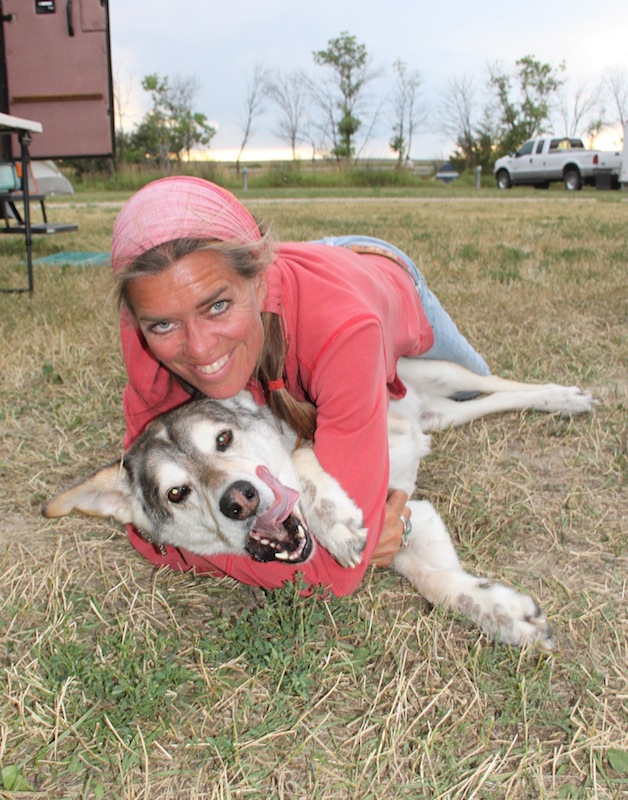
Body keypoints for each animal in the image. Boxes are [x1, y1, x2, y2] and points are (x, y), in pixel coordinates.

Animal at [44, 360, 592, 652]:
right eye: (176, 493)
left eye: (223, 439)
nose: (238, 499)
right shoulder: (408, 522)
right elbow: (439, 584)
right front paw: (504, 615)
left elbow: (301, 456)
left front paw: (338, 523)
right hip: (443, 414)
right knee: (479, 404)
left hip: (436, 371)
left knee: (499, 383)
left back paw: (565, 397)